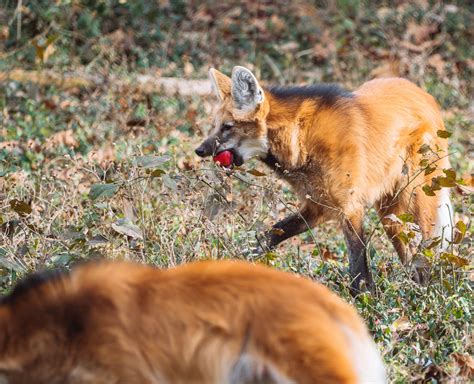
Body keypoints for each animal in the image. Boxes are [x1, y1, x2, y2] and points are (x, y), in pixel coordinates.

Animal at [195, 67, 452, 294]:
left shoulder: (349, 207)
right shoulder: (317, 205)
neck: (302, 139)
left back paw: (427, 292)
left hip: (414, 199)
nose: (199, 150)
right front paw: (237, 263)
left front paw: (366, 299)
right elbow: (273, 233)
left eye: (227, 127)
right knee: (409, 251)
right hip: (392, 214)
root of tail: (425, 94)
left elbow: (358, 263)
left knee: (426, 251)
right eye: (214, 125)